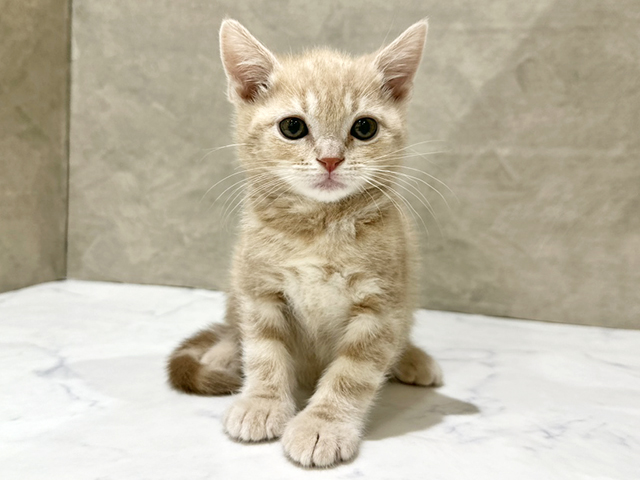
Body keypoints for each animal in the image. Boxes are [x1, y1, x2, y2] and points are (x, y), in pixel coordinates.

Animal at [168, 18, 443, 468]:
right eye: (293, 127)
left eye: (364, 127)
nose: (330, 159)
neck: (318, 230)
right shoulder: (259, 290)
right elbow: (264, 353)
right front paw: (261, 403)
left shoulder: (382, 306)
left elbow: (352, 374)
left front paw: (323, 425)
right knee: (232, 328)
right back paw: (225, 354)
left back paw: (413, 358)